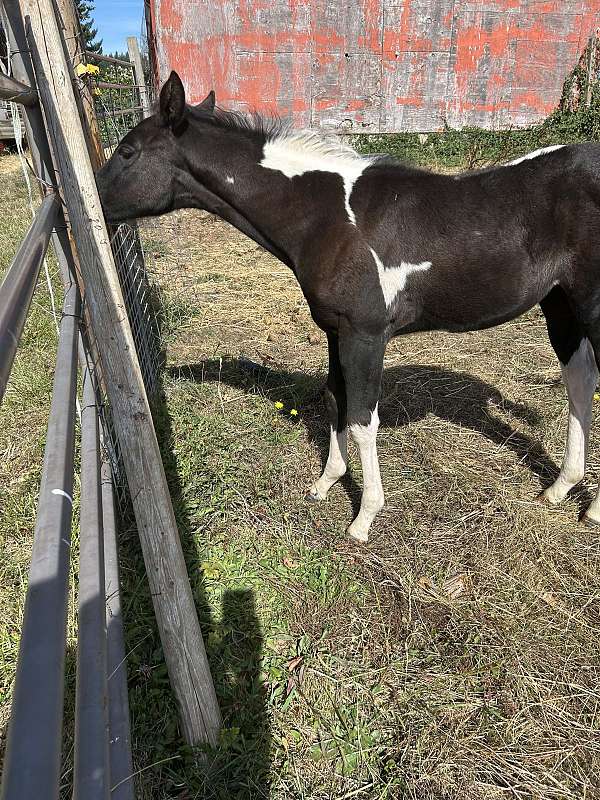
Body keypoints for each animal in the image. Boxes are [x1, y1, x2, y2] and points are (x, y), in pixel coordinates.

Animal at [97, 70, 600, 543]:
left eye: (128, 151)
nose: (86, 202)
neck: (326, 218)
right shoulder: (335, 330)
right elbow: (335, 398)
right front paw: (326, 483)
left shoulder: (365, 333)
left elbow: (362, 419)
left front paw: (364, 517)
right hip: (561, 305)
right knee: (580, 382)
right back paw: (559, 489)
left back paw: (590, 508)